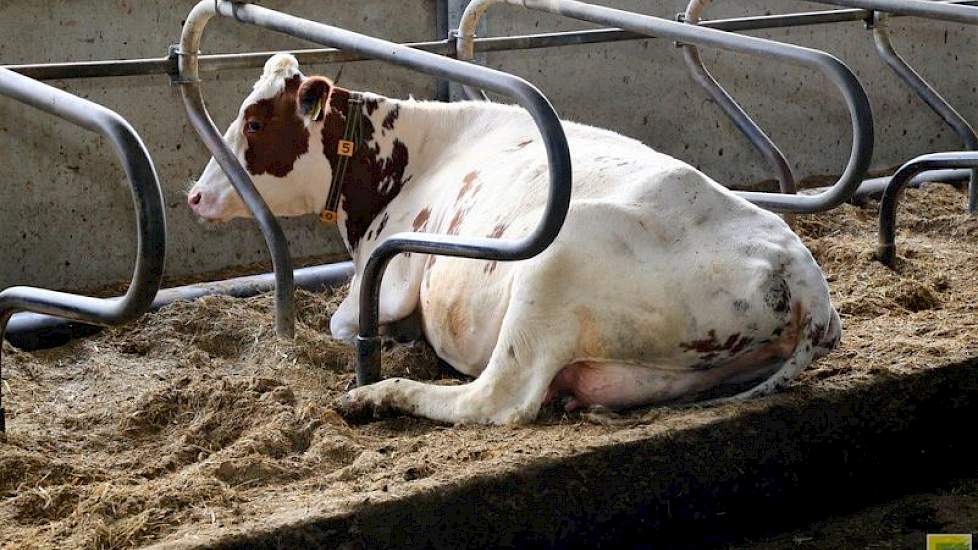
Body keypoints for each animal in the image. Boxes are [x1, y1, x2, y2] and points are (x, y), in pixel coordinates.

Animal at [189, 55, 840, 426]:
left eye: (254, 122)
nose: (194, 197)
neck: (414, 158)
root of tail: (798, 270)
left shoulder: (392, 273)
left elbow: (344, 322)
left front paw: (389, 344)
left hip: (555, 266)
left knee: (497, 400)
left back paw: (376, 396)